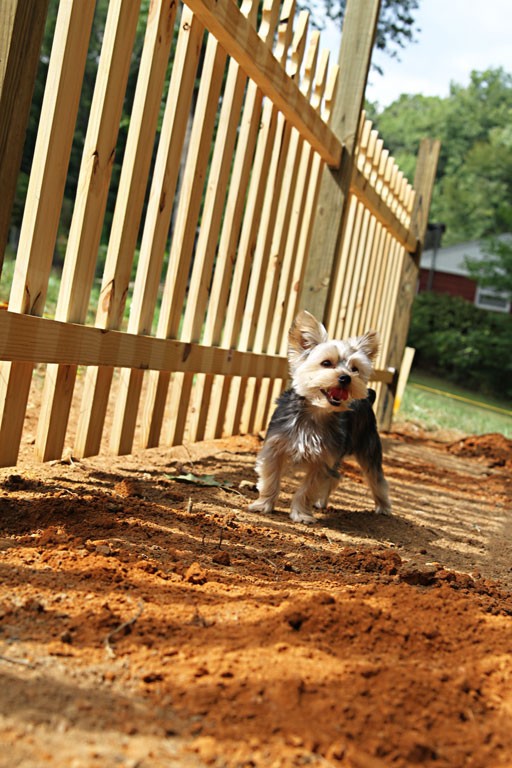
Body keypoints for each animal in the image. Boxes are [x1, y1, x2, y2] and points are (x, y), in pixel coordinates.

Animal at [249, 310, 392, 520]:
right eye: (326, 363)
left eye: (355, 369)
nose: (346, 378)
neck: (315, 413)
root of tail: (368, 399)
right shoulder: (274, 449)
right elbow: (270, 478)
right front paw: (263, 504)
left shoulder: (323, 460)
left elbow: (308, 489)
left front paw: (301, 514)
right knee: (337, 477)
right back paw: (321, 502)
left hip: (368, 447)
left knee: (376, 478)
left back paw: (383, 507)